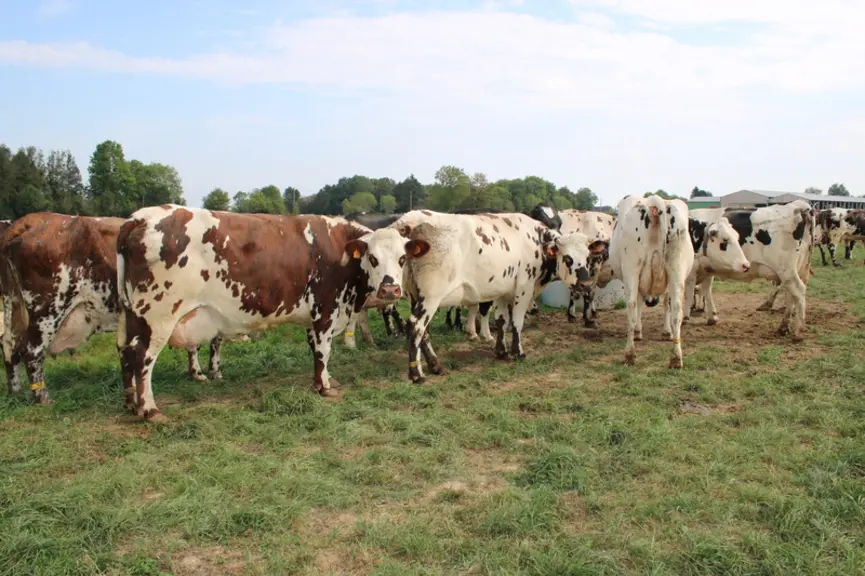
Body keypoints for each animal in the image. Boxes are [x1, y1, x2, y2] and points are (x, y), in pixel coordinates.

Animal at [0, 213, 223, 404]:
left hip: (14, 305)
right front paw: (211, 372)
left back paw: (15, 391)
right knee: (32, 351)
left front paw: (201, 372)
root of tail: (31, 221)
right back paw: (43, 398)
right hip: (48, 309)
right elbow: (210, 341)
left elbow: (199, 342)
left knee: (10, 345)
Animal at [116, 206, 407, 421]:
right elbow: (324, 349)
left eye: (402, 259)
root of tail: (139, 217)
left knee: (126, 350)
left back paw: (132, 403)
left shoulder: (312, 315)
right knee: (143, 357)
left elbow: (315, 349)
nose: (391, 289)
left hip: (130, 314)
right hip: (158, 316)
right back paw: (149, 409)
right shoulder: (326, 308)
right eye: (373, 258)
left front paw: (323, 380)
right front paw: (324, 386)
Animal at [395, 210, 606, 383]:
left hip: (416, 296)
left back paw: (435, 365)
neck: (535, 240)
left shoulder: (502, 291)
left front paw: (502, 351)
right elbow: (517, 322)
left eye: (588, 257)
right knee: (415, 326)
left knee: (423, 331)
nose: (586, 284)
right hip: (431, 296)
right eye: (568, 258)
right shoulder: (524, 288)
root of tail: (411, 227)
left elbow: (502, 320)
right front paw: (518, 352)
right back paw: (417, 374)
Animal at [596, 194, 694, 368]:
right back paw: (676, 358)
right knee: (677, 310)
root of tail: (655, 201)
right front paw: (666, 332)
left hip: (632, 270)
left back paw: (629, 354)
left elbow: (639, 305)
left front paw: (638, 332)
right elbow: (666, 305)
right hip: (677, 270)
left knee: (631, 306)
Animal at [682, 201, 814, 341]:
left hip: (786, 270)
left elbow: (690, 291)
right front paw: (712, 317)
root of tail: (797, 206)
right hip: (797, 269)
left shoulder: (692, 268)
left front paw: (685, 317)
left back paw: (798, 331)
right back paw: (783, 328)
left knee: (799, 291)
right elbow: (706, 289)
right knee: (791, 296)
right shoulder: (708, 268)